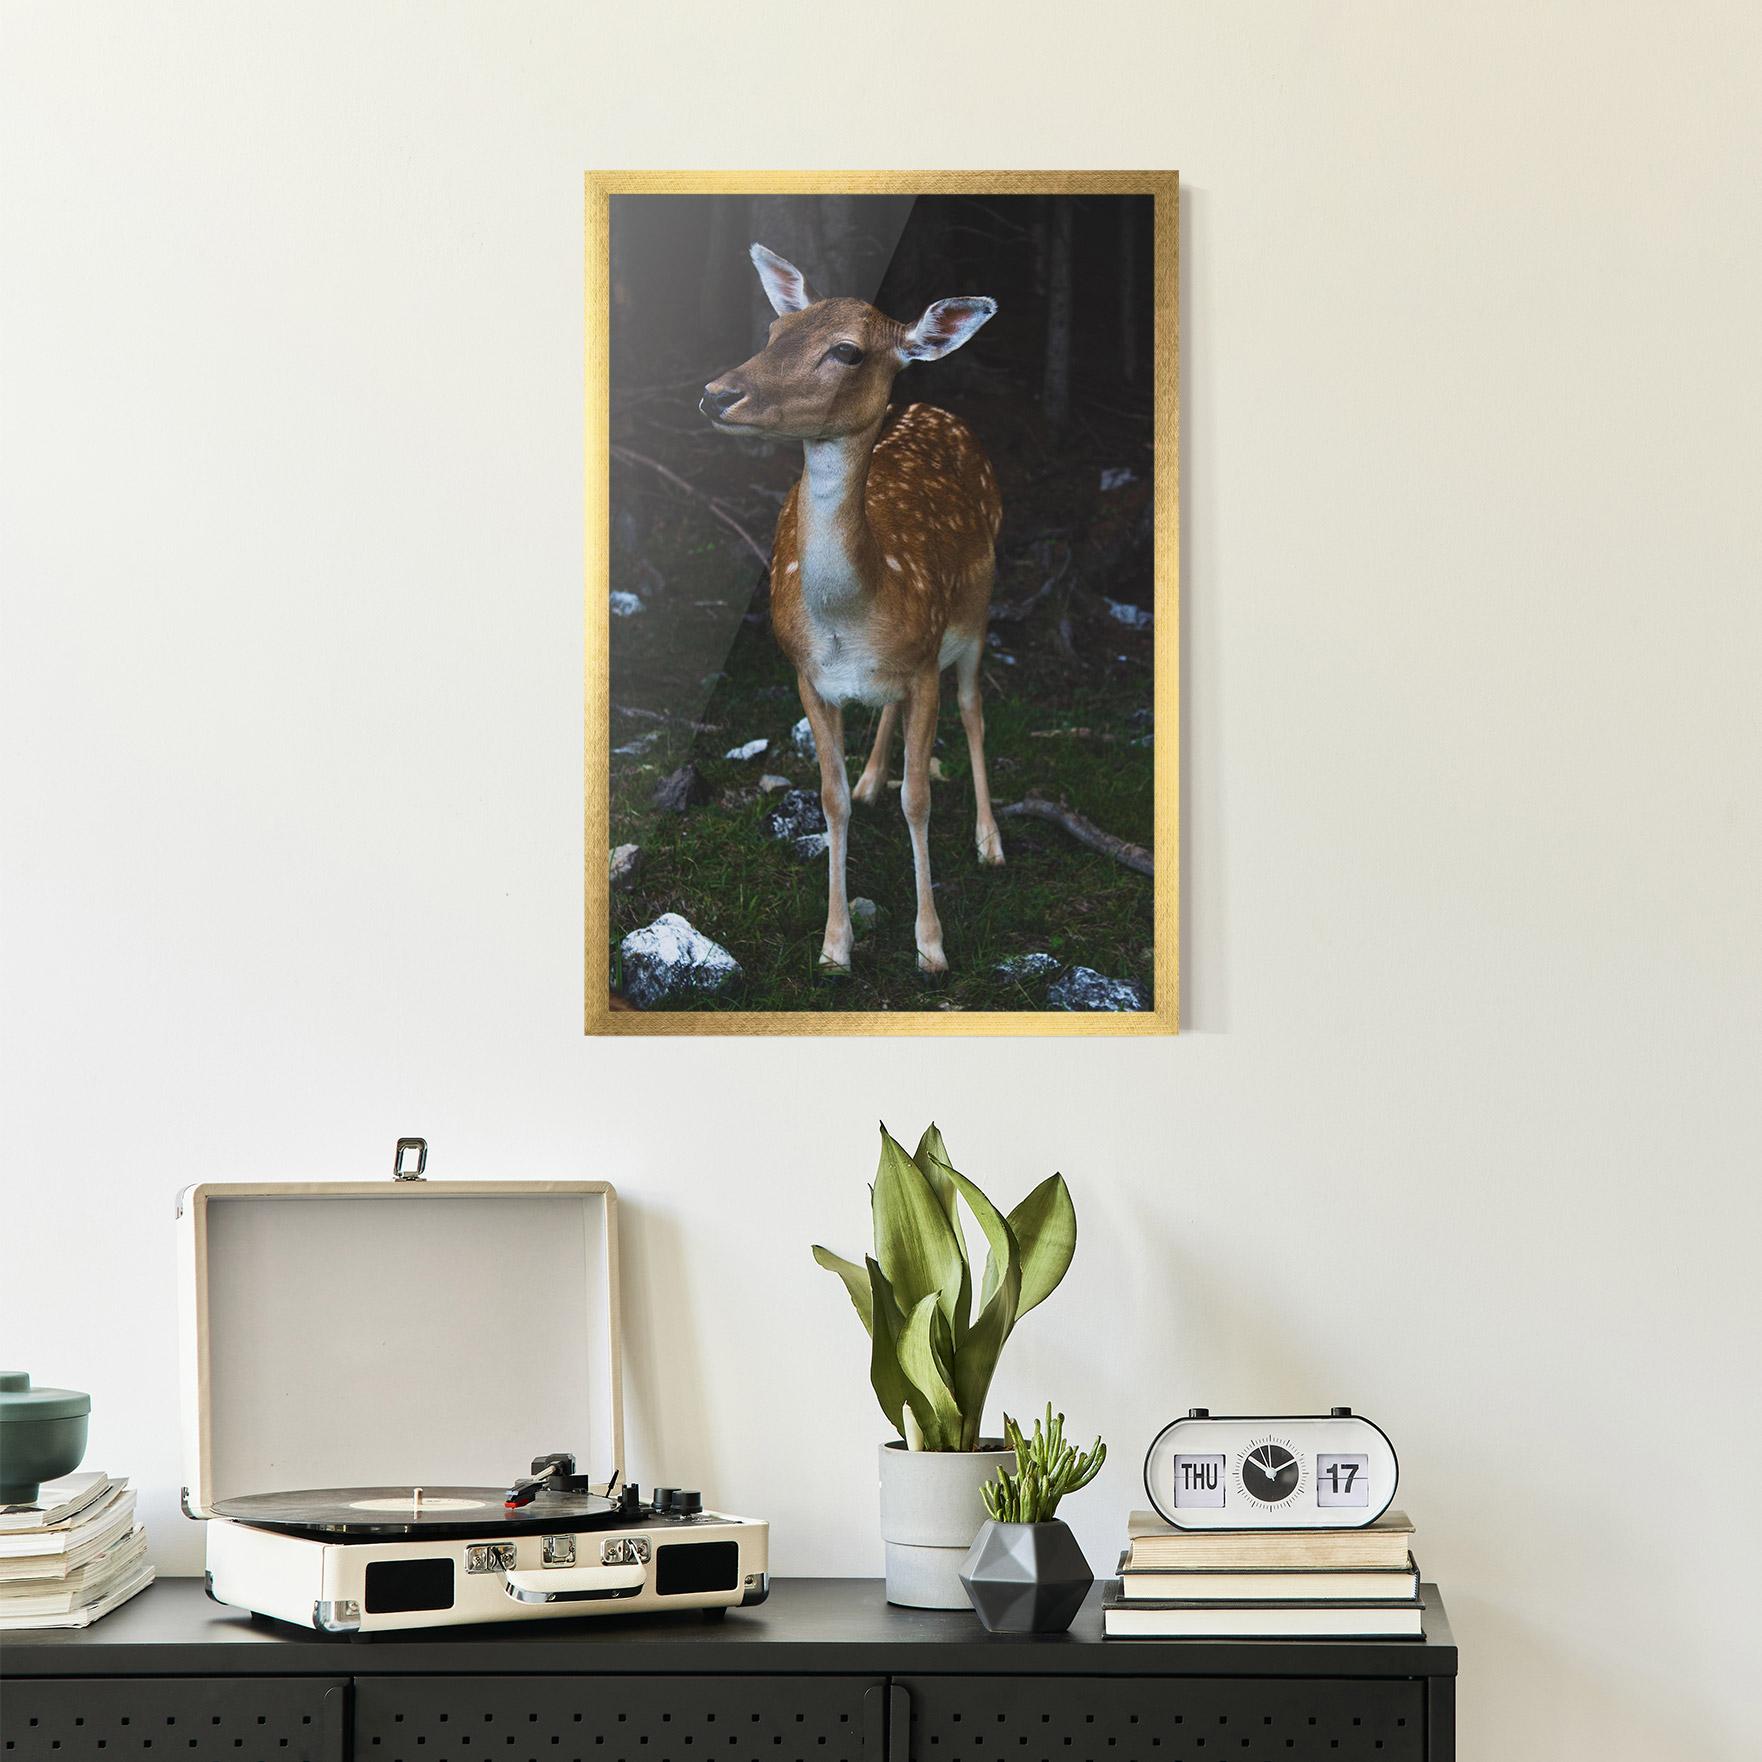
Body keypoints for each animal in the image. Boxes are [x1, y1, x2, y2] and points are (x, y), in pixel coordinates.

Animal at [700, 243, 1004, 977]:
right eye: (775, 331)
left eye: (847, 351)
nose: (717, 393)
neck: (853, 614)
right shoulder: (807, 674)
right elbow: (830, 799)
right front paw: (835, 946)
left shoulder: (924, 661)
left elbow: (919, 798)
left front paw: (931, 946)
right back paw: (871, 779)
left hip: (977, 609)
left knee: (973, 707)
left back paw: (990, 842)